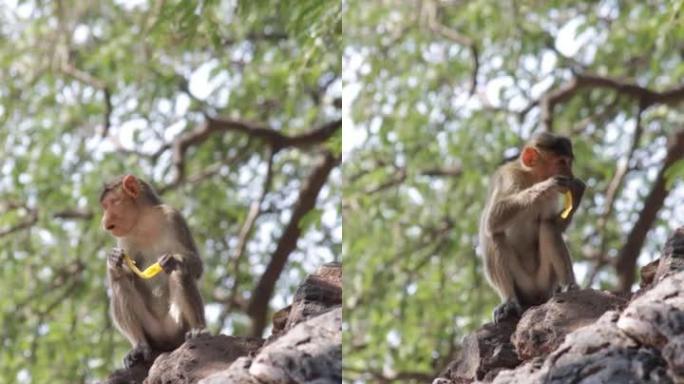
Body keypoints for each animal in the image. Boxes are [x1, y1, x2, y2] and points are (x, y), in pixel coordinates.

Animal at [99, 174, 206, 366]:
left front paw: (172, 259)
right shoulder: (125, 238)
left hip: (177, 325)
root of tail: (167, 343)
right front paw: (113, 261)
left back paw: (197, 329)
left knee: (179, 271)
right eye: (105, 206)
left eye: (112, 203)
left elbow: (196, 266)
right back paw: (140, 346)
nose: (104, 222)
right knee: (120, 280)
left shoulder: (173, 216)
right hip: (152, 331)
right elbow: (126, 273)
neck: (143, 220)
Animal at [478, 133, 584, 324]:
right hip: (522, 285)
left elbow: (552, 222)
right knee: (495, 233)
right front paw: (548, 185)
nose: (570, 175)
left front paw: (577, 193)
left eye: (569, 162)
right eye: (561, 162)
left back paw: (569, 286)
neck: (530, 177)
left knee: (548, 226)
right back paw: (509, 301)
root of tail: (535, 297)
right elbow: (493, 218)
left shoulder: (551, 198)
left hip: (545, 280)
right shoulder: (508, 176)